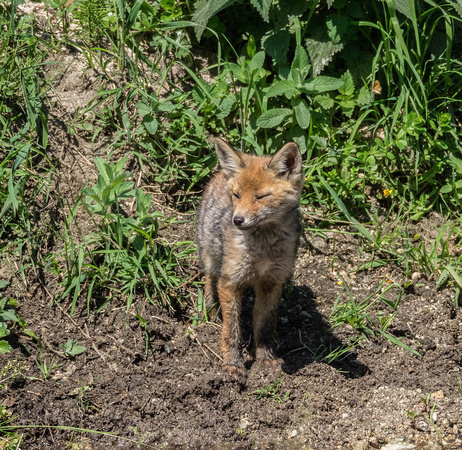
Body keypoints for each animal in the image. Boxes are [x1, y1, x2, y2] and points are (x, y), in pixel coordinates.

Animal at [198, 137, 304, 384]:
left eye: (261, 196)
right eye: (237, 196)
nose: (237, 220)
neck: (263, 250)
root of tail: (220, 174)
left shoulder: (272, 282)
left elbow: (264, 326)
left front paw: (265, 359)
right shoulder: (230, 281)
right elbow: (232, 330)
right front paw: (232, 365)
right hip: (211, 257)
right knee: (209, 278)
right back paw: (210, 309)